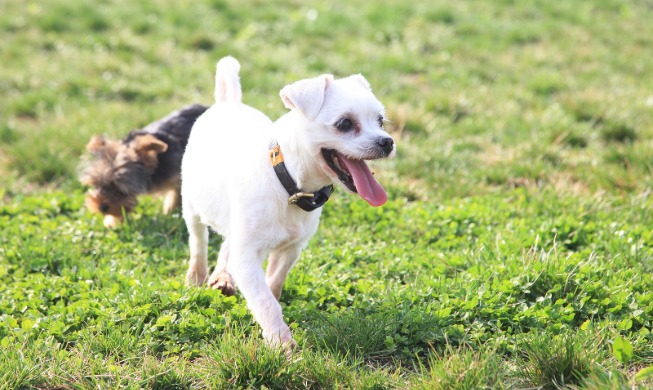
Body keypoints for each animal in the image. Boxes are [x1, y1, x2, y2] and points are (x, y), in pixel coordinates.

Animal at [79, 104, 208, 229]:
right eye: (96, 185)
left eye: (121, 190)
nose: (102, 207)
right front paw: (113, 221)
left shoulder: (177, 175)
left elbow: (176, 194)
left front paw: (170, 211)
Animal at [180, 56, 392, 348]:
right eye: (345, 124)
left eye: (380, 121)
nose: (387, 142)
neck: (289, 184)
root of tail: (228, 103)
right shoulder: (247, 258)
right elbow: (266, 302)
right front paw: (283, 346)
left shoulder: (291, 248)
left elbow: (273, 286)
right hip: (191, 206)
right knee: (198, 242)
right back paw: (197, 275)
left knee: (226, 245)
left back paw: (222, 276)